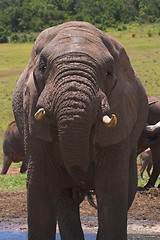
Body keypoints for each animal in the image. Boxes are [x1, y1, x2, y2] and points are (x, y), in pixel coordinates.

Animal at [12, 21, 148, 240]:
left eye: (108, 72)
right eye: (43, 66)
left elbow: (111, 189)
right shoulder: (30, 111)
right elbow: (41, 188)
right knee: (65, 202)